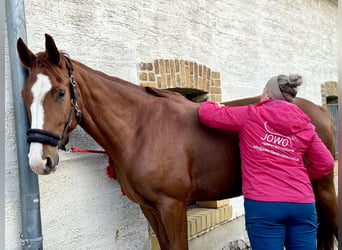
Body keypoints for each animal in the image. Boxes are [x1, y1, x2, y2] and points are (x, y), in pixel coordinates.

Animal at [16, 33, 336, 250]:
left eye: (60, 92)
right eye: (24, 94)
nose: (39, 160)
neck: (141, 130)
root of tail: (319, 111)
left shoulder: (173, 206)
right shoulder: (149, 208)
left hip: (324, 187)